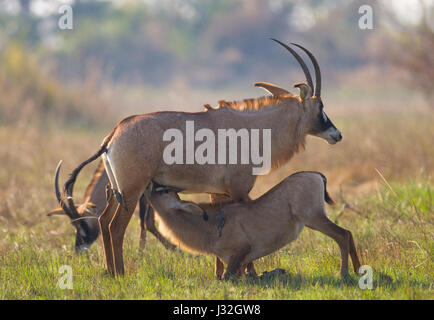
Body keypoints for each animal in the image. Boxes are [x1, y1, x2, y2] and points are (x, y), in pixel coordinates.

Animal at [56, 40, 342, 276]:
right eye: (320, 107)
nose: (336, 134)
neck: (253, 127)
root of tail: (113, 135)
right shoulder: (239, 189)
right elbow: (247, 222)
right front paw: (250, 273)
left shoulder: (219, 191)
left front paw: (220, 273)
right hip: (133, 190)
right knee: (116, 227)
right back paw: (120, 273)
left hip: (119, 191)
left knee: (104, 221)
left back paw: (109, 270)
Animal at [147, 172, 362, 280]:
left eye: (164, 190)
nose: (151, 184)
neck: (209, 225)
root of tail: (317, 175)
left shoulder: (240, 253)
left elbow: (226, 277)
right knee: (349, 233)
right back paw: (359, 271)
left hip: (314, 218)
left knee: (343, 235)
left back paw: (344, 274)